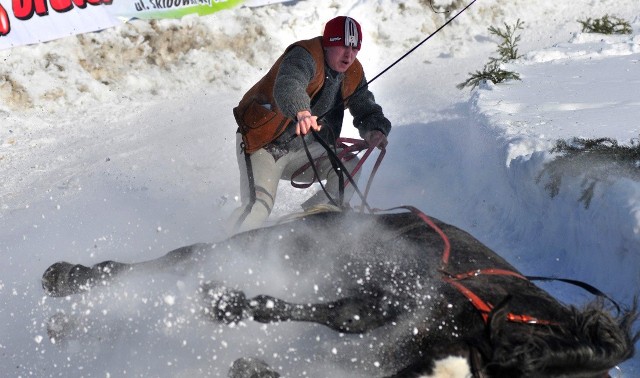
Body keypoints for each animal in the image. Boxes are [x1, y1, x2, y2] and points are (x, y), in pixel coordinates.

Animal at [42, 208, 636, 376]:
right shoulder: (407, 297)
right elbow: (349, 315)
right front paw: (232, 304)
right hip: (275, 246)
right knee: (174, 262)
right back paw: (69, 279)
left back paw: (69, 326)